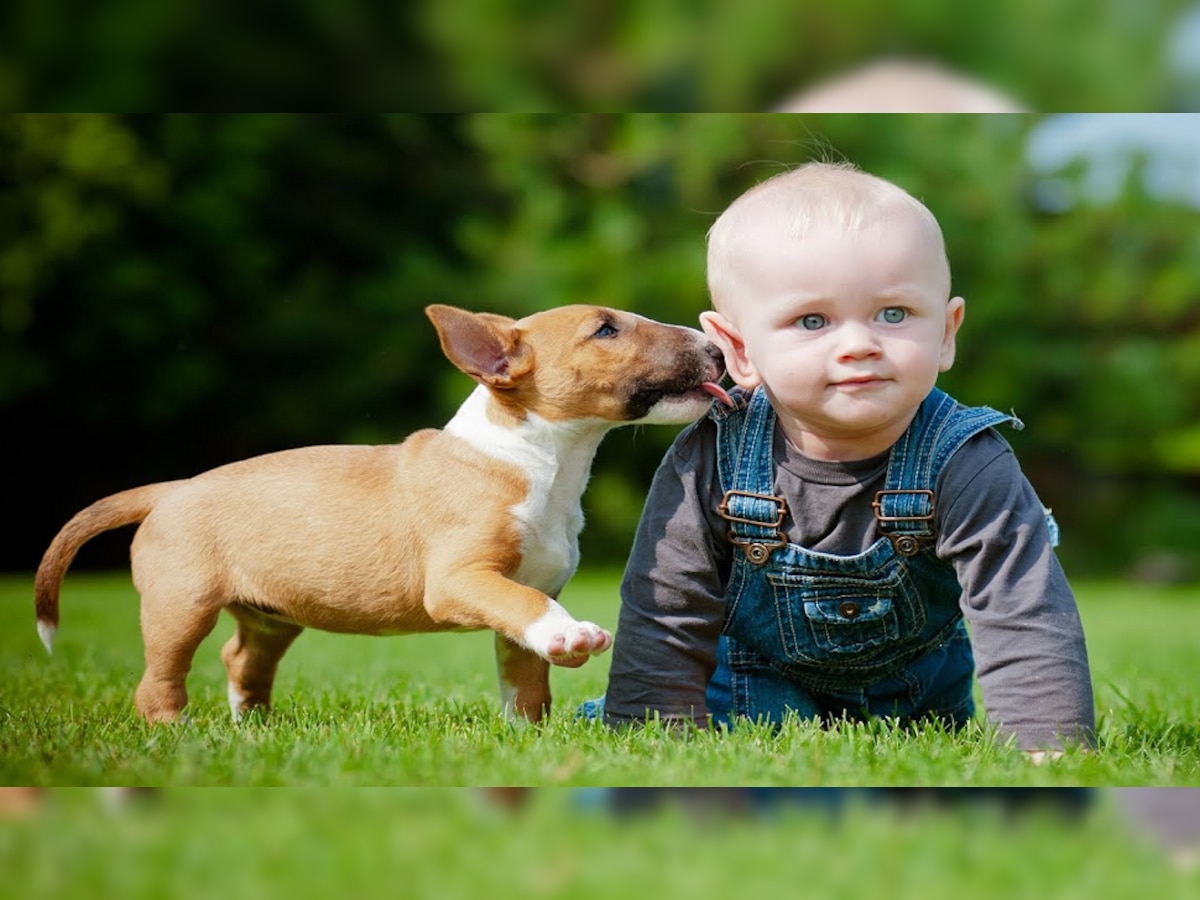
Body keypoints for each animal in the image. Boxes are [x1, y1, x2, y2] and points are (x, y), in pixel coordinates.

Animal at [35, 307, 729, 729]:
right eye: (606, 330)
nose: (716, 349)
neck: (538, 460)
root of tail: (170, 490)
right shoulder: (462, 579)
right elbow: (531, 613)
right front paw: (572, 638)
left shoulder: (527, 586)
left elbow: (524, 673)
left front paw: (526, 734)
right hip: (179, 604)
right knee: (160, 678)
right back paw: (178, 735)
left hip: (270, 614)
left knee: (241, 658)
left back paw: (253, 726)